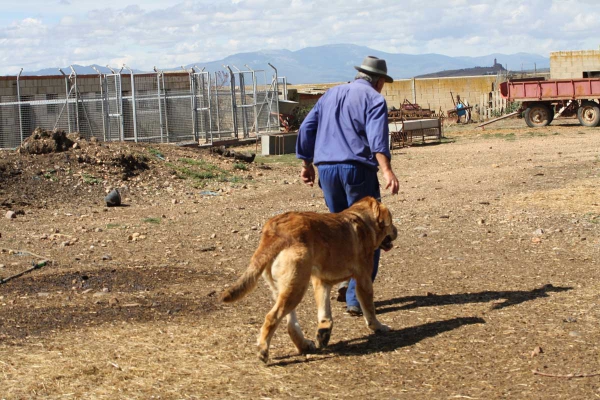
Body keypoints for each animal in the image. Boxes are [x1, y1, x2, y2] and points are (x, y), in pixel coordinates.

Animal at [220, 196, 398, 362]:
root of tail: (275, 230)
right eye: (391, 220)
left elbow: (325, 314)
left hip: (287, 289)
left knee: (290, 325)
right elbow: (370, 310)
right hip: (296, 288)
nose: (397, 230)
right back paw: (263, 350)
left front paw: (324, 332)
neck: (362, 219)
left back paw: (304, 345)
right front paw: (379, 327)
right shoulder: (363, 280)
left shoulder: (321, 282)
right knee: (272, 317)